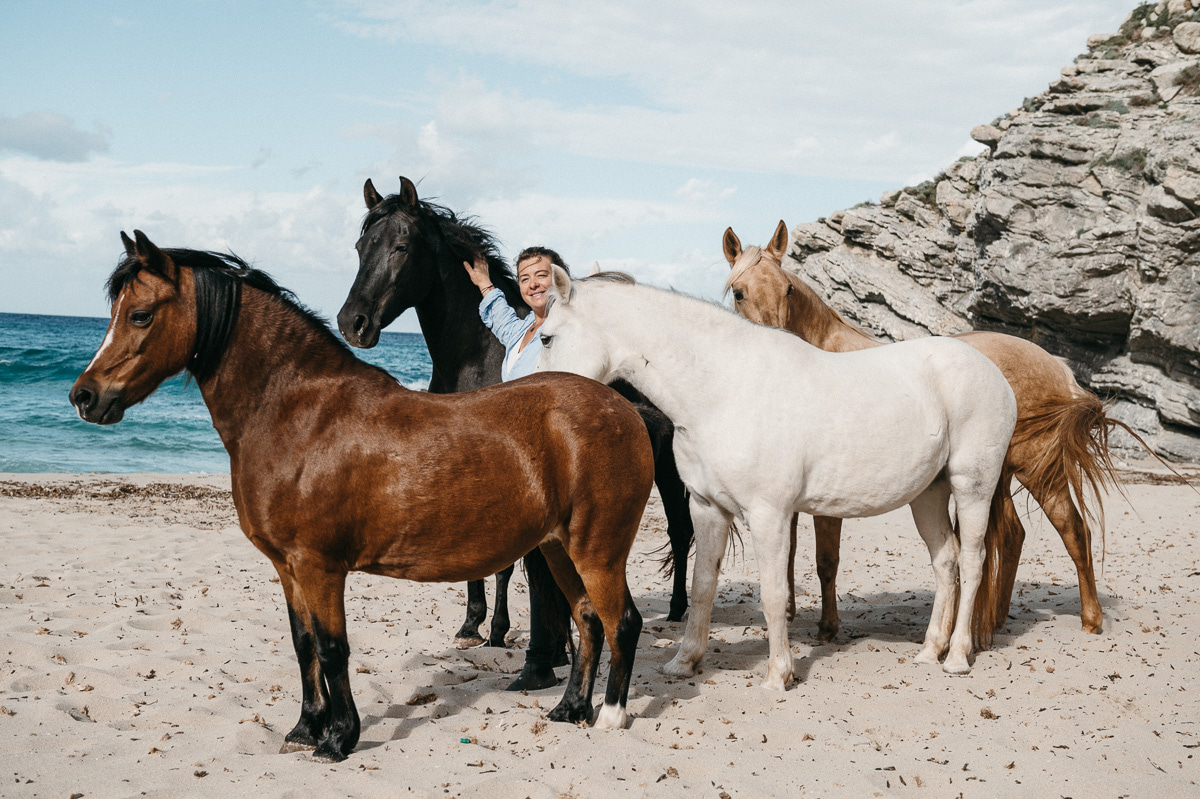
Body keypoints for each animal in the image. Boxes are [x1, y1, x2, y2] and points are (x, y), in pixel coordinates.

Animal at [70, 231, 654, 762]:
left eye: (140, 314)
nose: (84, 396)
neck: (297, 413)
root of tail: (623, 409)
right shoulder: (287, 567)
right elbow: (304, 644)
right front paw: (304, 728)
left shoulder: (319, 566)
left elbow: (333, 648)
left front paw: (338, 738)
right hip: (559, 548)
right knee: (587, 619)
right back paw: (569, 709)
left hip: (598, 551)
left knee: (621, 622)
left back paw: (610, 716)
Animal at [336, 176, 696, 636]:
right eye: (360, 246)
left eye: (400, 247)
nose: (353, 323)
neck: (477, 356)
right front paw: (472, 621)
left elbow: (506, 562)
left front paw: (497, 627)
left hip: (668, 466)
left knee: (680, 531)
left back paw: (678, 608)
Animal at [534, 268, 1017, 687]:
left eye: (546, 336)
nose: (539, 393)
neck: (724, 390)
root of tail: (995, 374)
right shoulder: (708, 509)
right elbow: (703, 586)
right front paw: (685, 662)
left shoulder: (769, 515)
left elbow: (773, 594)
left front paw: (778, 674)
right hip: (929, 493)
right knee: (946, 561)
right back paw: (930, 650)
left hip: (971, 487)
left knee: (972, 561)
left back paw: (957, 656)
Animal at [723, 220, 1138, 640]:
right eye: (739, 292)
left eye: (787, 289)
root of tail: (1058, 367)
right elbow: (788, 552)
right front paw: (790, 613)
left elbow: (826, 560)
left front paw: (827, 627)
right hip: (994, 475)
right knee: (1012, 536)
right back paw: (994, 621)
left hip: (1039, 470)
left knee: (1074, 531)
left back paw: (1090, 619)